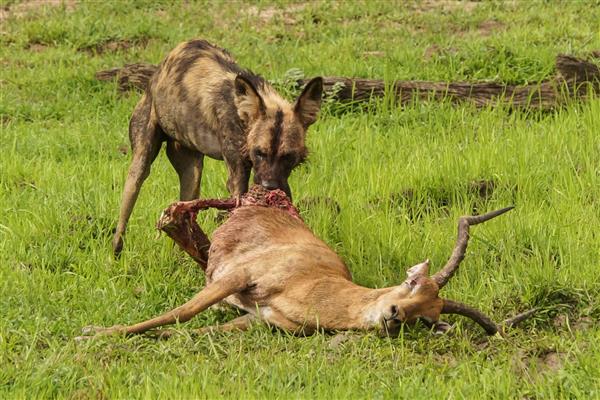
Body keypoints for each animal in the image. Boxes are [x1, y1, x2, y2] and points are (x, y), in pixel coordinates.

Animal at [115, 38, 326, 256]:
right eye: (259, 153)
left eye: (288, 157)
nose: (269, 187)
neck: (242, 119)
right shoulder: (237, 179)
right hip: (140, 165)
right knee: (126, 208)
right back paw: (116, 252)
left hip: (192, 175)